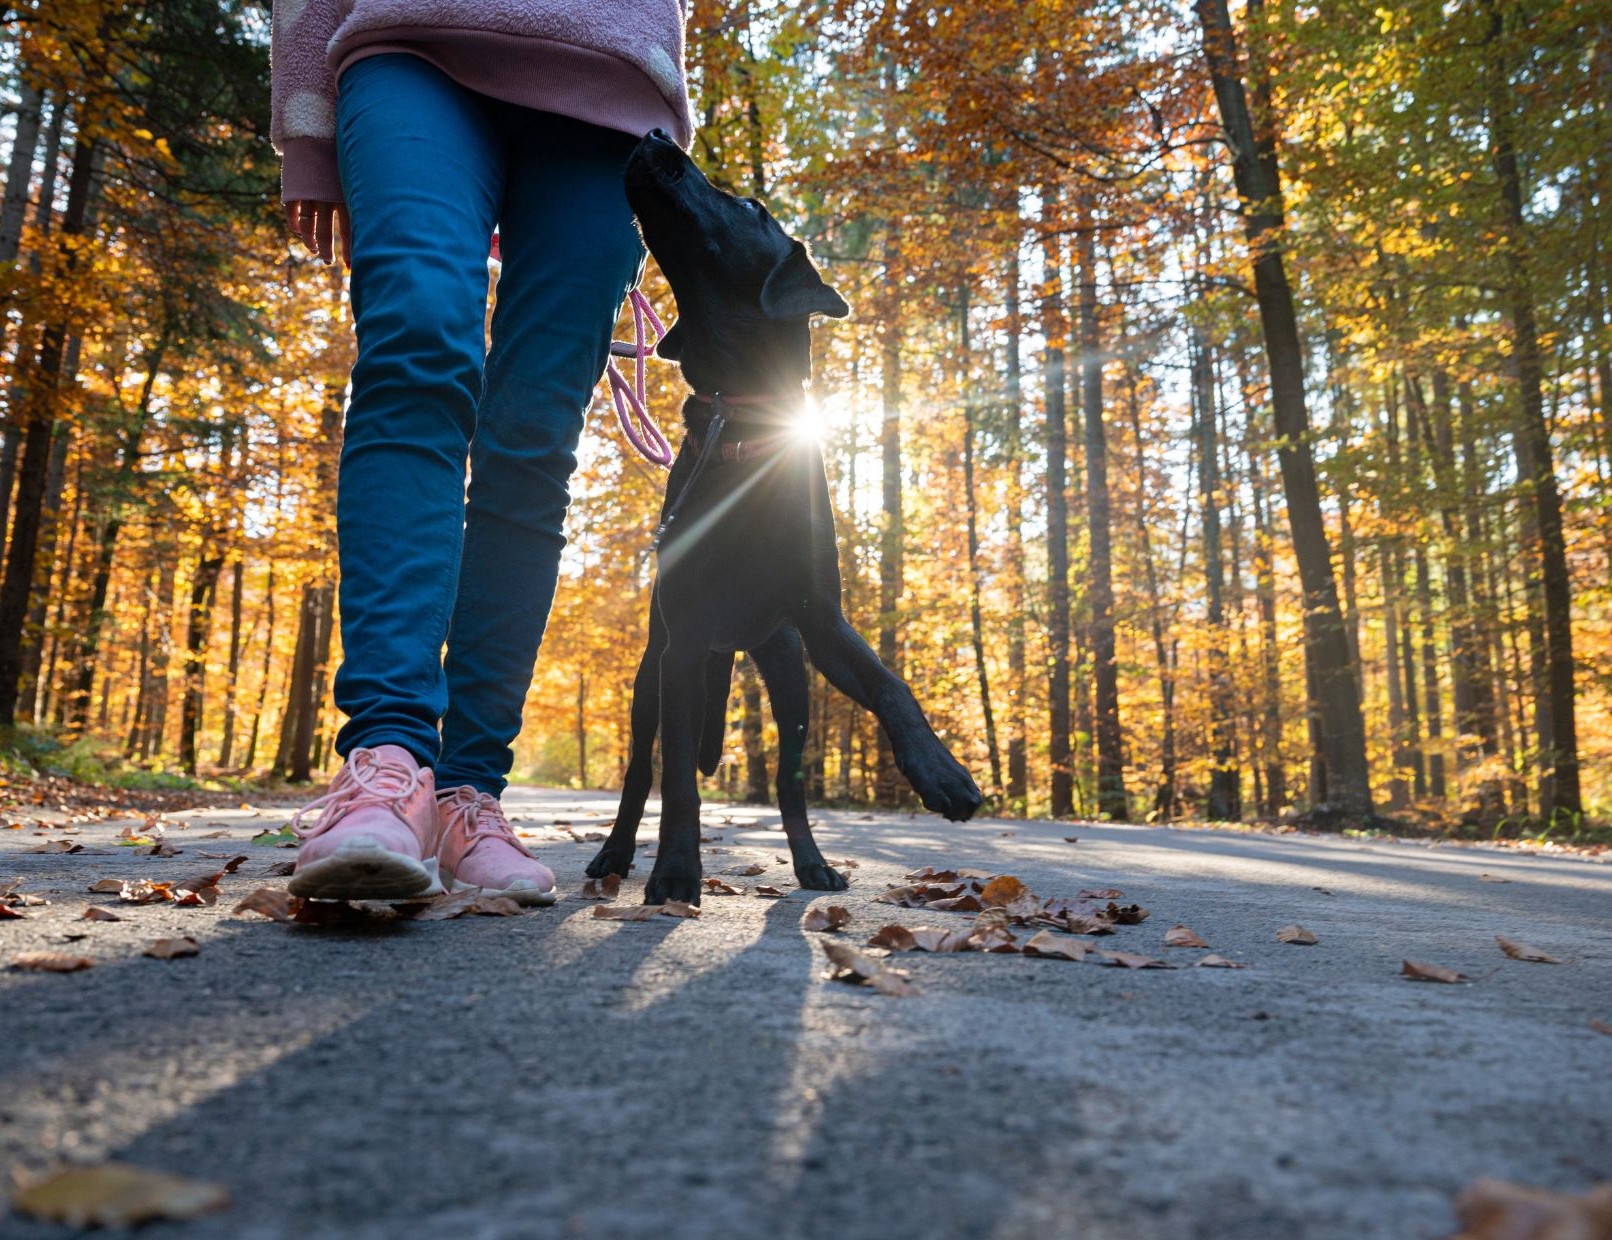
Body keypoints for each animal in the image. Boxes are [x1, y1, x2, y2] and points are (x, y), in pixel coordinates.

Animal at [586, 130, 973, 902]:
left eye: (748, 208)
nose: (656, 135)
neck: (745, 418)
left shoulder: (821, 620)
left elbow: (893, 685)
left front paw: (941, 771)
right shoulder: (681, 646)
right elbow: (679, 783)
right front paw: (676, 870)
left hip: (790, 679)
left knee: (792, 790)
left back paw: (813, 862)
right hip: (651, 676)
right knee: (643, 770)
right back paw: (614, 855)